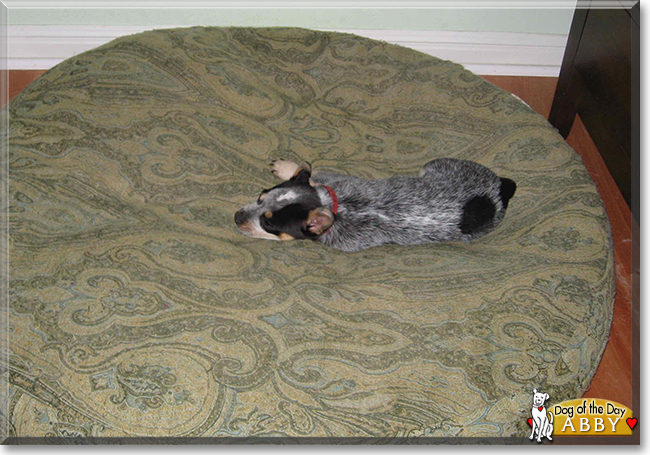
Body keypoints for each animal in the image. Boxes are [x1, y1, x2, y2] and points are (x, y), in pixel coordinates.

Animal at [233, 159, 512, 253]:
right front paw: (288, 167)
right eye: (260, 198)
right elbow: (312, 174)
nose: (236, 216)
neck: (337, 205)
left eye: (268, 222)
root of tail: (500, 188)